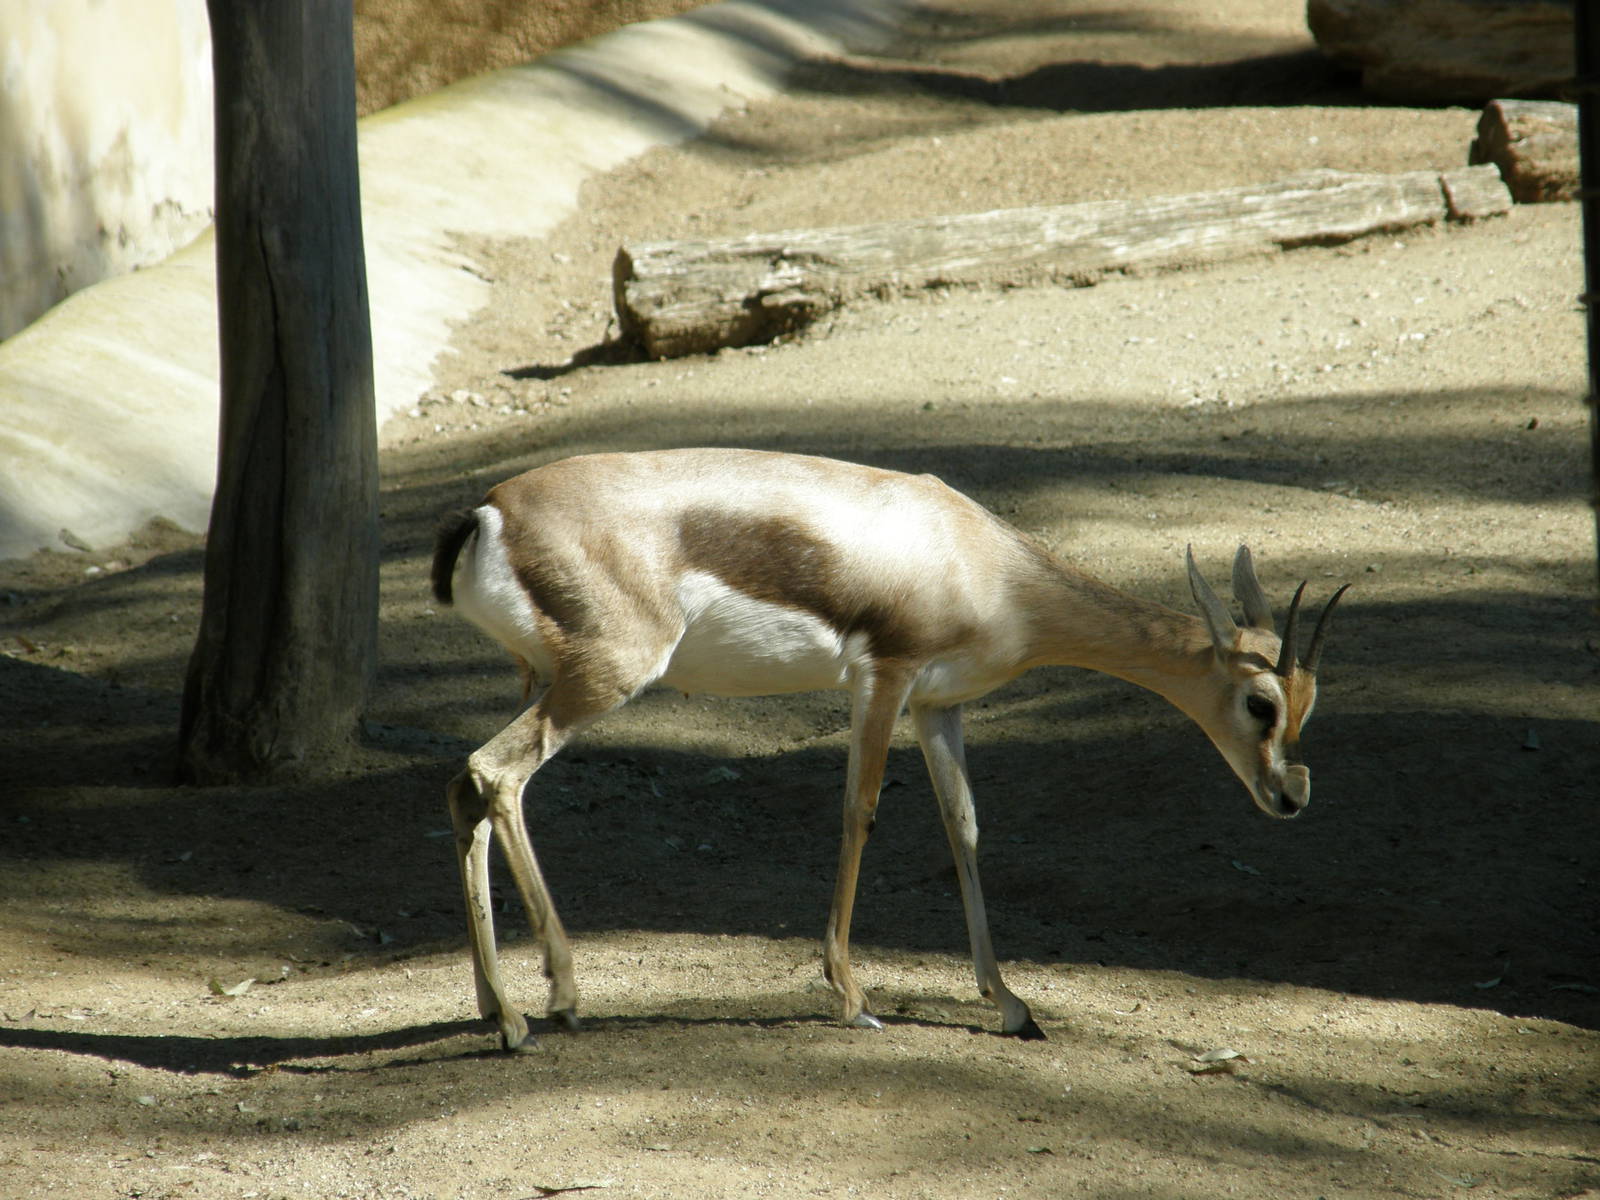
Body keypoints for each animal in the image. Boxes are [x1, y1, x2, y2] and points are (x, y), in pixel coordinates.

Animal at [431, 447, 1347, 1049]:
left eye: (1309, 701)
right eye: (1260, 702)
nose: (1290, 795)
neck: (982, 563)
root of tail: (488, 510)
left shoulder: (939, 706)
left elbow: (964, 829)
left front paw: (1011, 1004)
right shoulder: (885, 678)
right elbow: (859, 813)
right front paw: (851, 996)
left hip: (539, 676)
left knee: (466, 787)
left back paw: (495, 1007)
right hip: (606, 674)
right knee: (495, 775)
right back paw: (552, 1001)